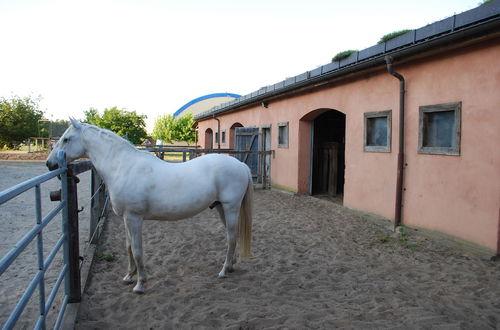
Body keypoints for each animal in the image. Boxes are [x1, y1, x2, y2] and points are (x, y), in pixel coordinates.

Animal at [46, 118, 254, 294]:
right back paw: (230, 266)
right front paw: (129, 276)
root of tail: (241, 166)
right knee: (232, 235)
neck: (123, 167)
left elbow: (138, 250)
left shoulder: (134, 218)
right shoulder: (126, 218)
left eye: (66, 139)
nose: (50, 164)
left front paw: (140, 284)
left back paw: (223, 271)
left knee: (231, 238)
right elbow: (129, 247)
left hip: (230, 207)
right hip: (220, 207)